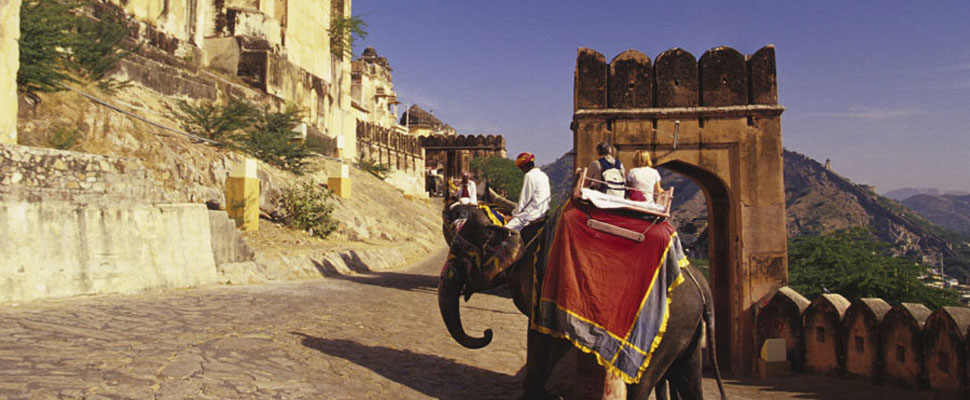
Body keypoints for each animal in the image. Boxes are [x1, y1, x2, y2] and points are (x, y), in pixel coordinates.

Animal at [437, 203, 726, 400]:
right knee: (689, 379)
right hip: (687, 330)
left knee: (641, 385)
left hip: (666, 330)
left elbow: (541, 337)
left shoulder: (540, 282)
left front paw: (532, 395)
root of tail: (702, 286)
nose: (487, 332)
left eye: (461, 254)